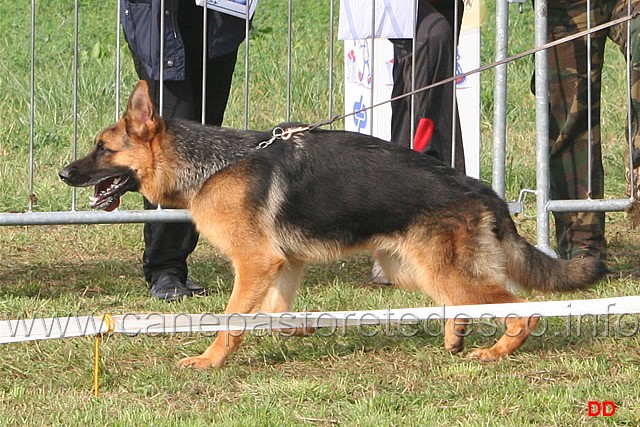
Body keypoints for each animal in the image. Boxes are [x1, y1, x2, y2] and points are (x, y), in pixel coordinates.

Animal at [58, 82, 604, 370]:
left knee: (521, 308)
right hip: (412, 268)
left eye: (103, 149)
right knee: (468, 301)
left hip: (438, 269)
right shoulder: (284, 265)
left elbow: (232, 319)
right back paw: (456, 337)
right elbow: (274, 313)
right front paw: (301, 328)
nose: (63, 174)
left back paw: (497, 350)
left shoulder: (256, 263)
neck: (212, 164)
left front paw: (210, 361)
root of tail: (483, 190)